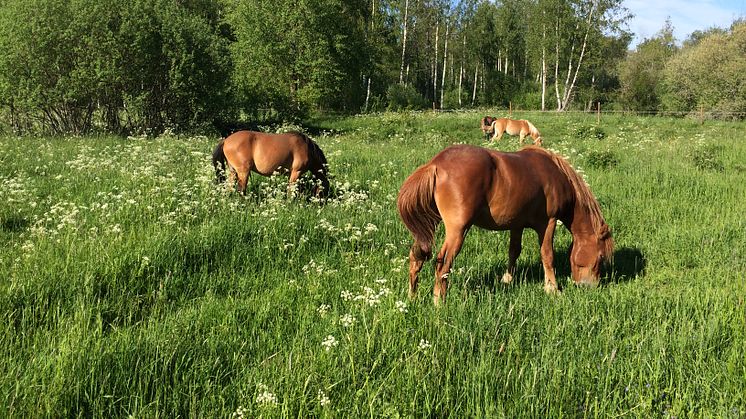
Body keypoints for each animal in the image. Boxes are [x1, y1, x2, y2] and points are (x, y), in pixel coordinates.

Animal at [396, 144, 612, 306]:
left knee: (416, 257)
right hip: (457, 231)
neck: (555, 174)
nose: (590, 286)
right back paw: (438, 302)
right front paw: (552, 289)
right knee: (442, 264)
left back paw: (412, 297)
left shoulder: (516, 224)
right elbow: (547, 255)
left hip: (428, 226)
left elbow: (513, 251)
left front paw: (507, 280)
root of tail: (436, 164)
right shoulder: (548, 223)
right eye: (601, 256)